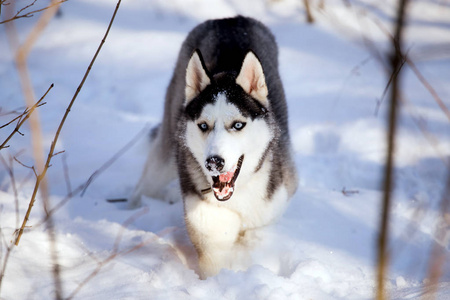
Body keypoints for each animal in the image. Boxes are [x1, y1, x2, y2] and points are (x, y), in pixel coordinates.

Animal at [129, 15, 298, 278]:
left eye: (238, 124)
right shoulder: (210, 231)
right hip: (166, 155)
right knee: (147, 183)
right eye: (203, 125)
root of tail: (229, 19)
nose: (214, 162)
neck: (236, 195)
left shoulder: (267, 214)